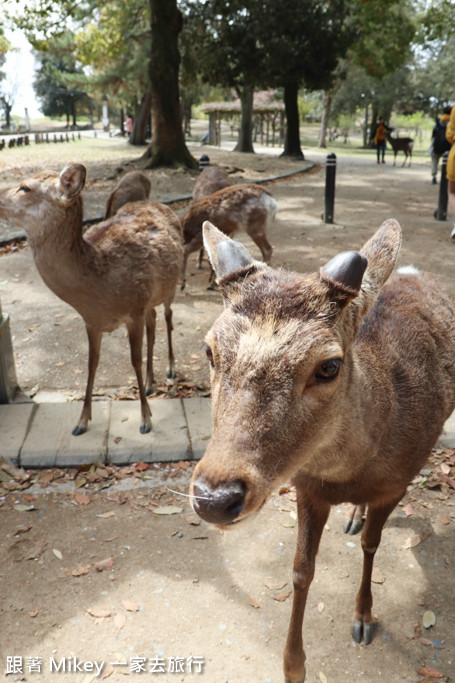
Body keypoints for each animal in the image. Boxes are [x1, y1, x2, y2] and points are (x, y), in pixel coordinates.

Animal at [0, 163, 185, 436]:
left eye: (25, 187)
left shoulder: (134, 310)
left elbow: (134, 360)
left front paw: (146, 419)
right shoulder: (92, 321)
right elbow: (91, 364)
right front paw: (81, 421)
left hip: (169, 288)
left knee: (169, 317)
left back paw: (171, 369)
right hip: (150, 300)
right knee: (153, 324)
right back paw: (152, 382)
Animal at [189, 219, 455, 683]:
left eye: (329, 366)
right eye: (209, 350)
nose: (214, 498)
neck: (348, 473)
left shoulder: (397, 484)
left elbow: (371, 545)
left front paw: (363, 619)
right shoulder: (307, 488)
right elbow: (300, 571)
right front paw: (293, 664)